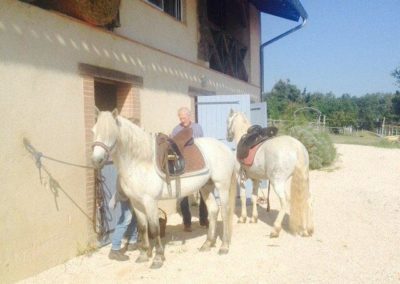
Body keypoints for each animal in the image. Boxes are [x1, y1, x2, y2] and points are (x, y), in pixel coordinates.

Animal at [92, 108, 236, 268]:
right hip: (206, 186)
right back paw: (207, 244)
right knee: (213, 211)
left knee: (224, 212)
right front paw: (143, 255)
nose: (96, 160)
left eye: (111, 133)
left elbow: (154, 229)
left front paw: (158, 258)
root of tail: (224, 148)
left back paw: (224, 246)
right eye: (93, 131)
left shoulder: (150, 201)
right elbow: (143, 228)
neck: (140, 161)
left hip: (222, 186)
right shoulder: (136, 202)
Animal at [227, 110, 314, 239]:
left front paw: (243, 218)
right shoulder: (255, 179)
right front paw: (254, 218)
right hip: (304, 179)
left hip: (277, 182)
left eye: (228, 120)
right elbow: (254, 197)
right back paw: (307, 230)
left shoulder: (240, 179)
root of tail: (297, 147)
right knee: (308, 200)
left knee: (285, 202)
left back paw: (275, 229)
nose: (227, 136)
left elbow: (242, 197)